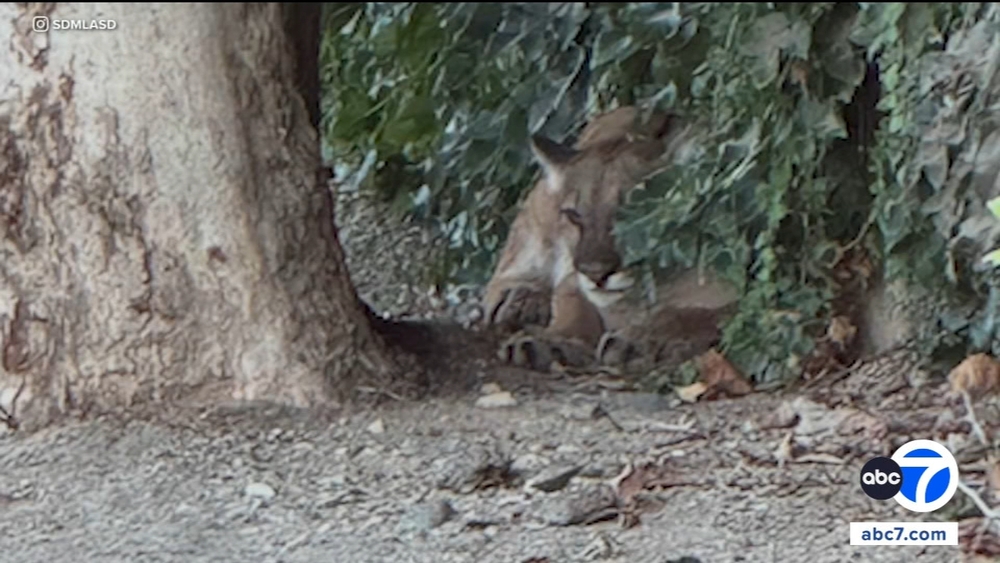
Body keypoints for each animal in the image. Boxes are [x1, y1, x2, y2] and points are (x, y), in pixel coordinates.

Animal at [483, 106, 739, 372]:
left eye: (633, 210)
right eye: (574, 215)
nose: (595, 273)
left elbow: (695, 315)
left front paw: (638, 342)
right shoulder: (573, 279)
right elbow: (573, 308)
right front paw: (553, 340)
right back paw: (521, 302)